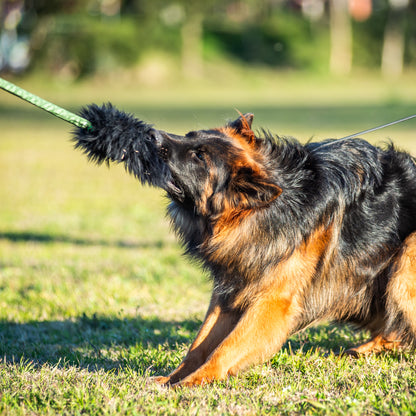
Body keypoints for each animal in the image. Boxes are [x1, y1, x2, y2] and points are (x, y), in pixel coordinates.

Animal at [73, 105, 416, 386]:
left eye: (200, 157)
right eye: (189, 136)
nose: (150, 134)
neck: (266, 206)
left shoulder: (271, 302)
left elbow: (226, 347)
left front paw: (197, 381)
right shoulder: (230, 290)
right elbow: (200, 344)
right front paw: (176, 377)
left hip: (404, 266)